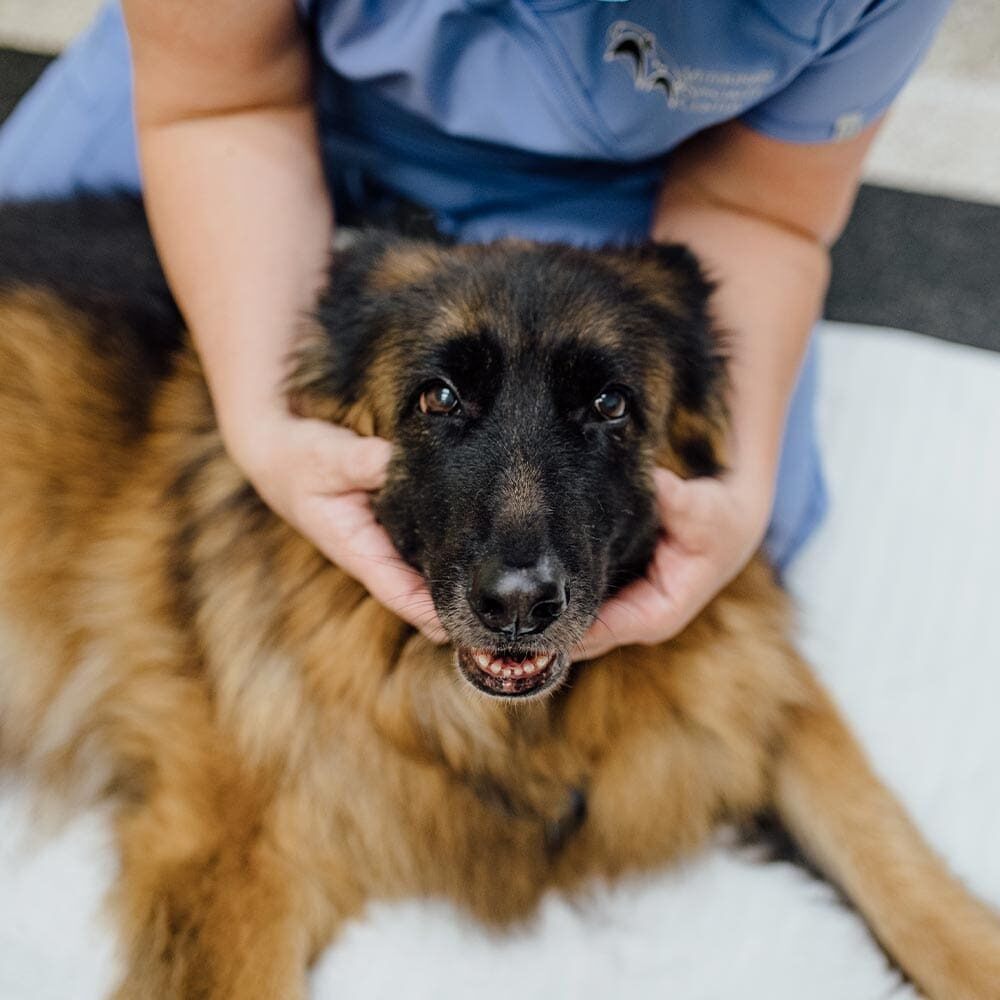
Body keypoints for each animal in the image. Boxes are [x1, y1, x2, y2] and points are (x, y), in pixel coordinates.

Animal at [1, 197, 999, 999]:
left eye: (609, 405)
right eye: (439, 397)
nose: (518, 605)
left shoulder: (756, 683)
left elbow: (887, 845)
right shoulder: (225, 861)